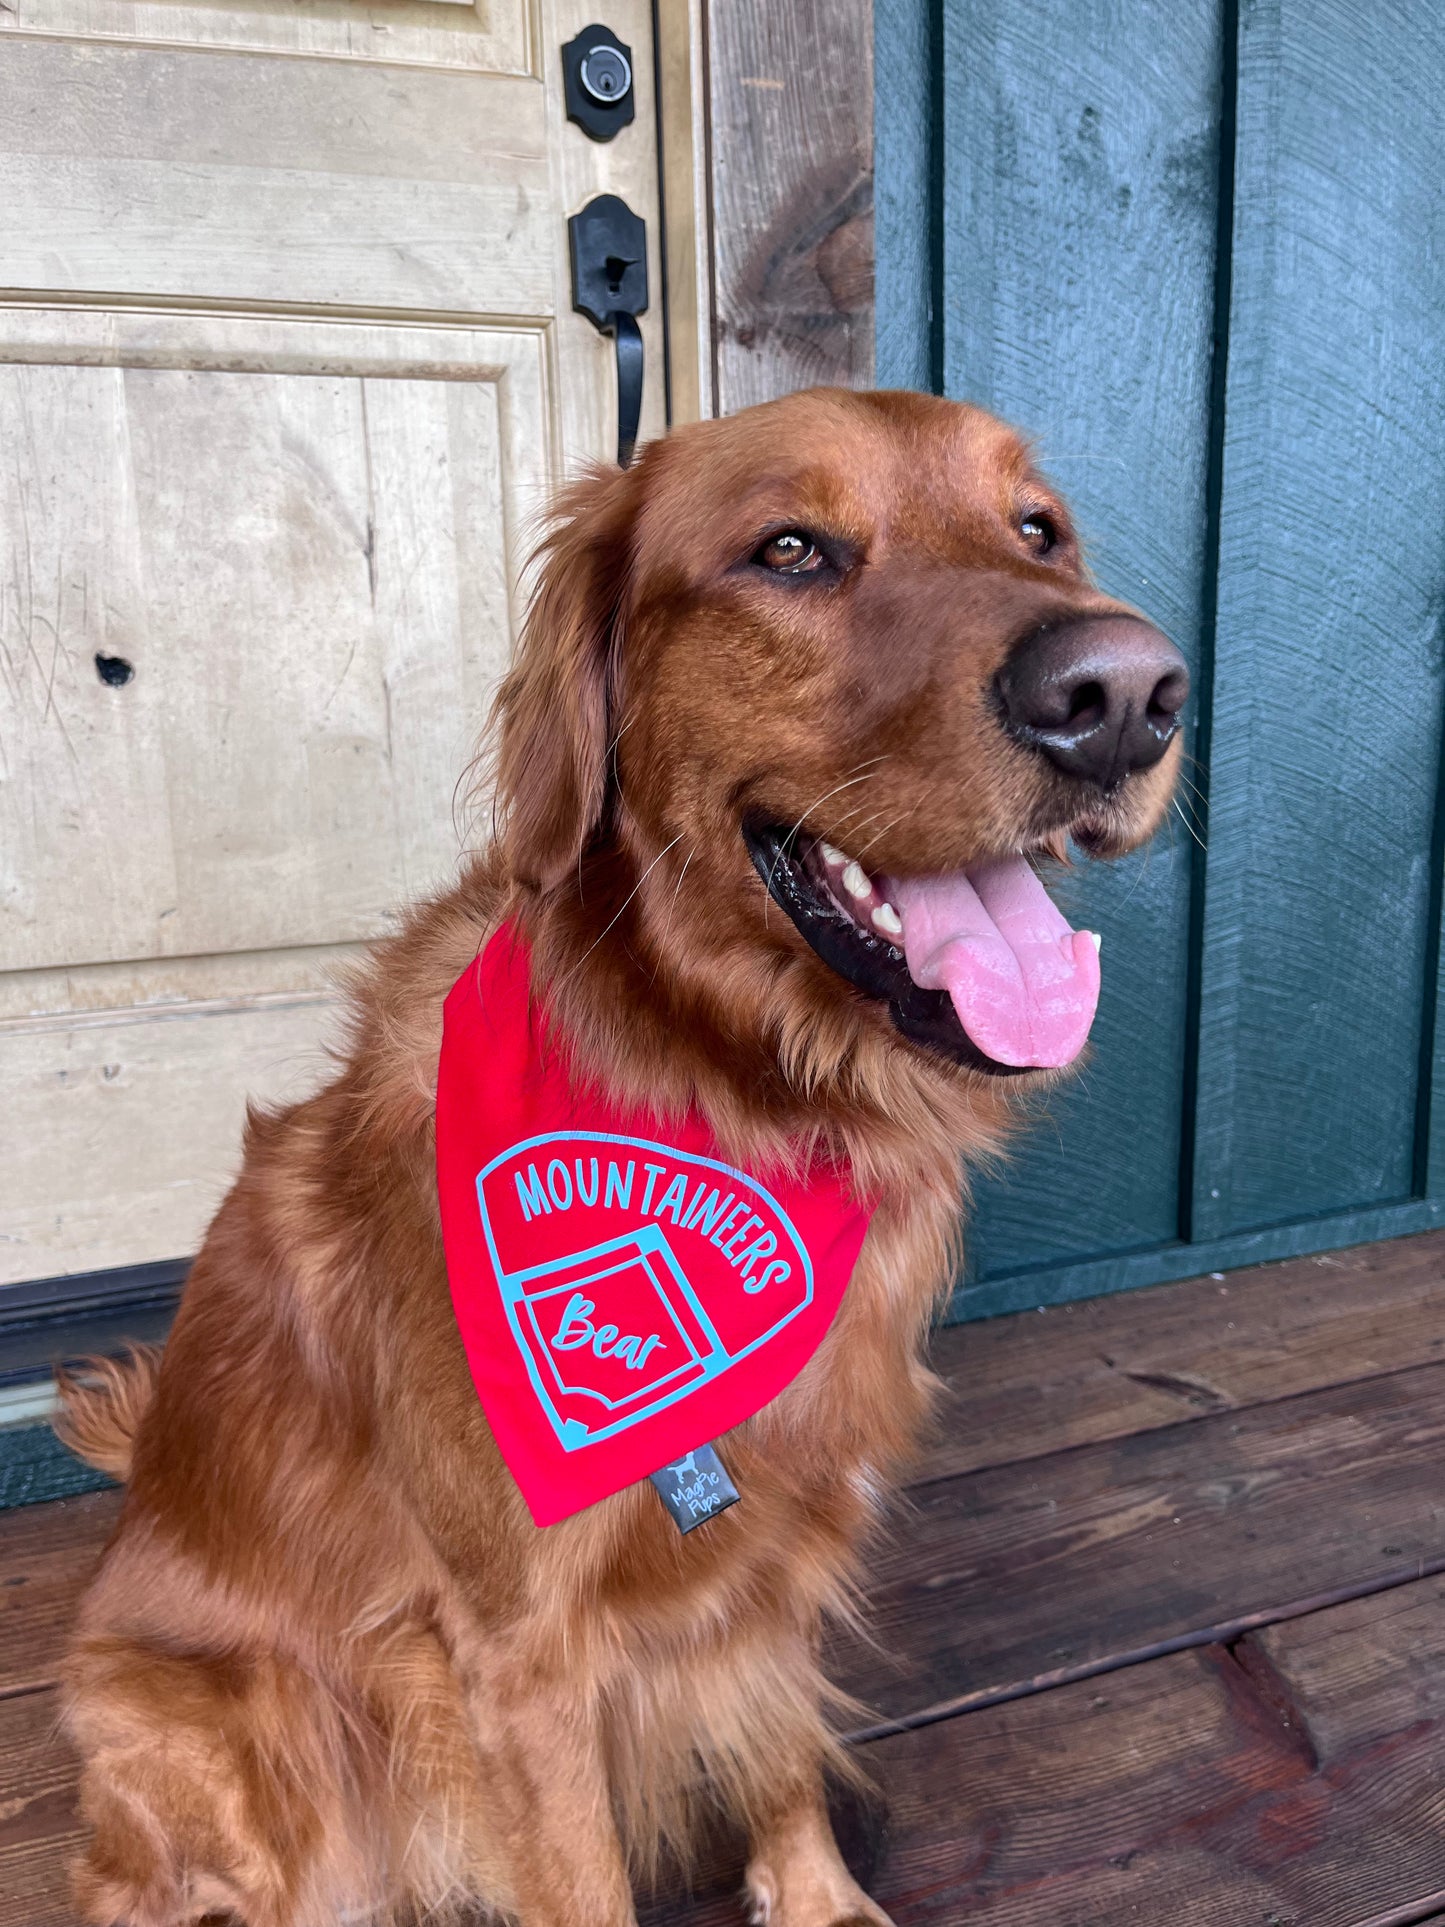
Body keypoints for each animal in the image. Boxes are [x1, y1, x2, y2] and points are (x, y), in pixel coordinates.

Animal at [56, 391, 1186, 1927]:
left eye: (1038, 529)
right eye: (789, 549)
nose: (1124, 693)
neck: (737, 1100)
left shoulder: (777, 1547)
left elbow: (776, 1740)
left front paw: (814, 1895)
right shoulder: (512, 1653)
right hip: (218, 1727)